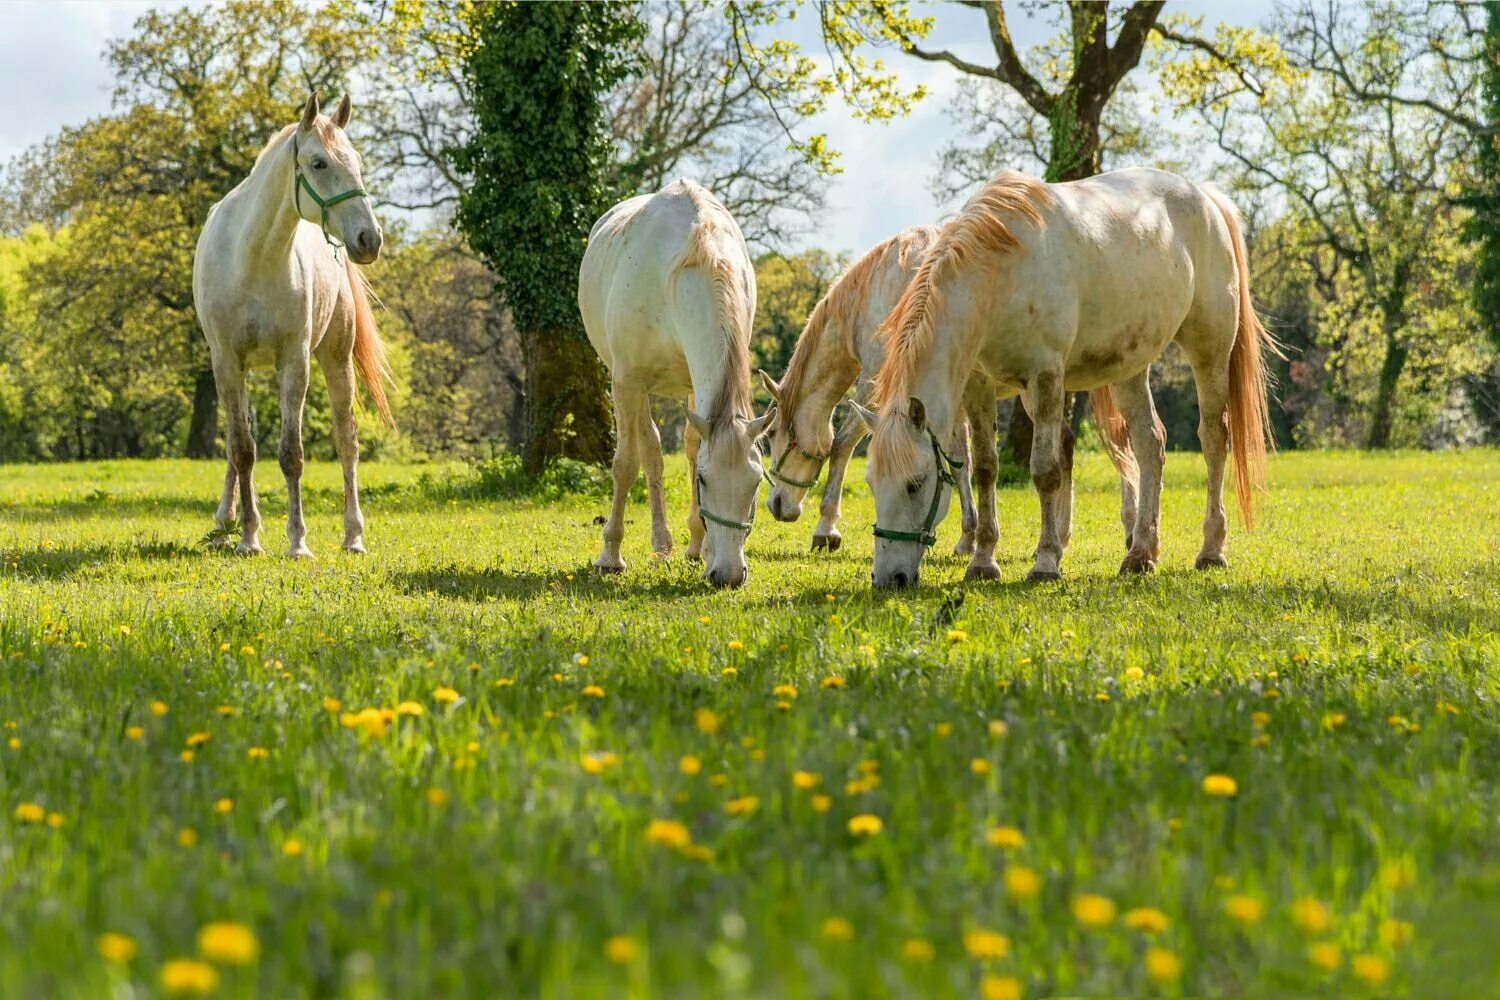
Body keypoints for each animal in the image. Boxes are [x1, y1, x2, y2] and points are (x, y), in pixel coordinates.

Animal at [193, 91, 393, 563]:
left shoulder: (294, 363)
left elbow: (292, 454)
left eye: (357, 161)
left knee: (347, 441)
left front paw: (297, 540)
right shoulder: (227, 363)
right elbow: (242, 451)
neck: (252, 257)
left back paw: (353, 536)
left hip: (336, 361)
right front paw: (248, 536)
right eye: (318, 163)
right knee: (238, 444)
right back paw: (224, 522)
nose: (369, 239)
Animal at [579, 179, 774, 590]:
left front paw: (702, 549)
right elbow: (625, 464)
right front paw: (610, 557)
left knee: (679, 444)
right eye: (704, 481)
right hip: (634, 387)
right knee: (650, 451)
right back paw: (660, 545)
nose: (729, 575)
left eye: (756, 483)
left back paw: (687, 547)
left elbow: (693, 447)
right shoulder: (626, 381)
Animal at [768, 229, 1140, 569]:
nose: (775, 504)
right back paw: (1066, 538)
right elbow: (962, 463)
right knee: (1077, 445)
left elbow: (842, 444)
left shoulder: (877, 390)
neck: (870, 295)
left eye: (772, 434)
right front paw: (968, 538)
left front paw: (826, 528)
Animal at [864, 167, 1272, 590]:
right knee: (1150, 445)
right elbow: (986, 469)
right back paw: (1141, 553)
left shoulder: (1044, 378)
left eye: (915, 483)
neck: (1002, 271)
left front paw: (1045, 561)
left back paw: (1211, 549)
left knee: (1213, 441)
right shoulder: (979, 387)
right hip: (1130, 369)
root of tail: (1206, 197)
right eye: (872, 483)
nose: (888, 578)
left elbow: (1046, 471)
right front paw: (983, 560)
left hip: (1210, 351)